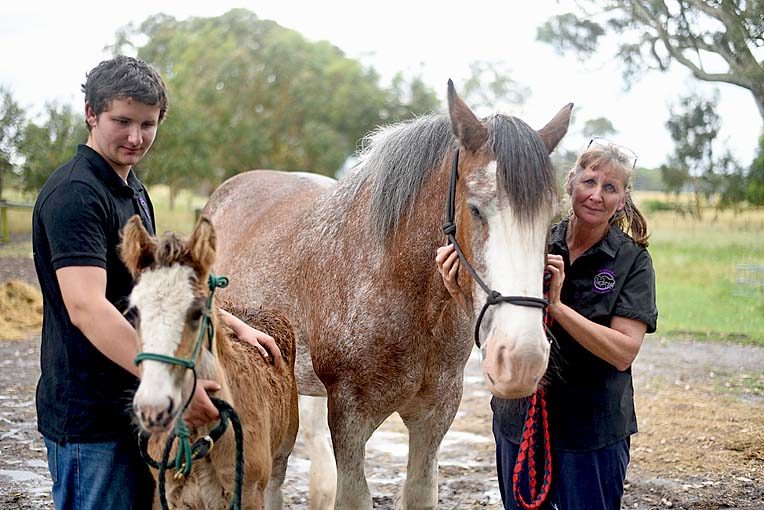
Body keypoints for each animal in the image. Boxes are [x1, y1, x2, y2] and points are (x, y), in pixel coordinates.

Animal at [120, 215, 299, 509]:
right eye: (133, 312)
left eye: (196, 313)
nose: (153, 408)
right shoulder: (165, 496)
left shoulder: (249, 494)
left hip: (280, 460)